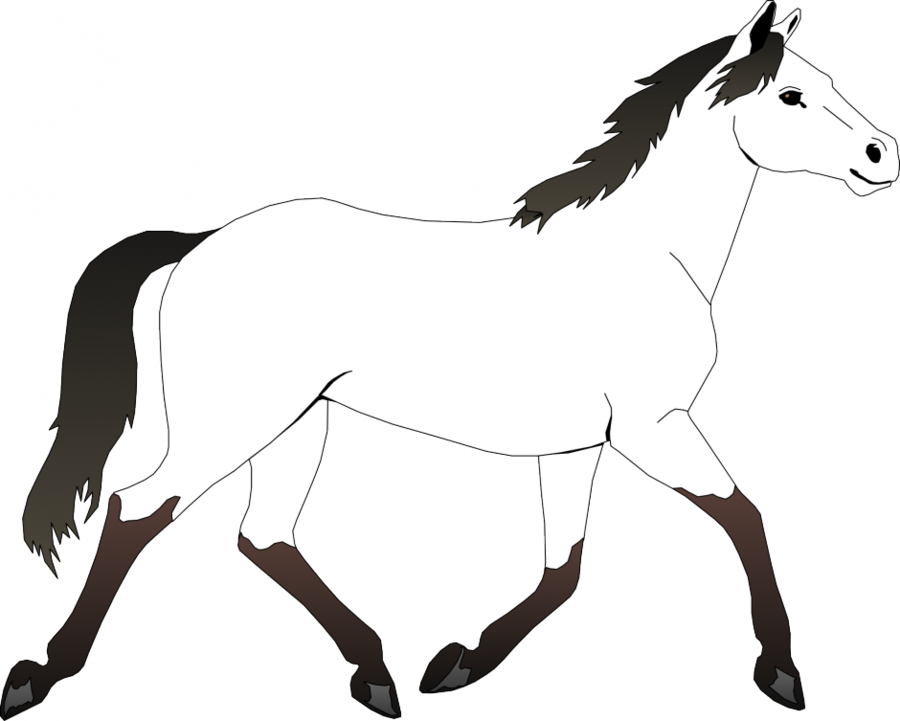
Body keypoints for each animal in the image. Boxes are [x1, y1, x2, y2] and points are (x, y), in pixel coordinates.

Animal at [2, 2, 897, 718]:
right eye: (791, 95)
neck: (643, 252)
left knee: (264, 536)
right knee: (137, 509)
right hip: (234, 422)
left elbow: (564, 569)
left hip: (297, 424)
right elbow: (744, 513)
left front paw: (459, 663)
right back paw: (40, 674)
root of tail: (199, 243)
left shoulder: (576, 446)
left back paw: (377, 674)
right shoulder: (654, 426)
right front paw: (782, 672)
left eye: (826, 80)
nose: (883, 155)